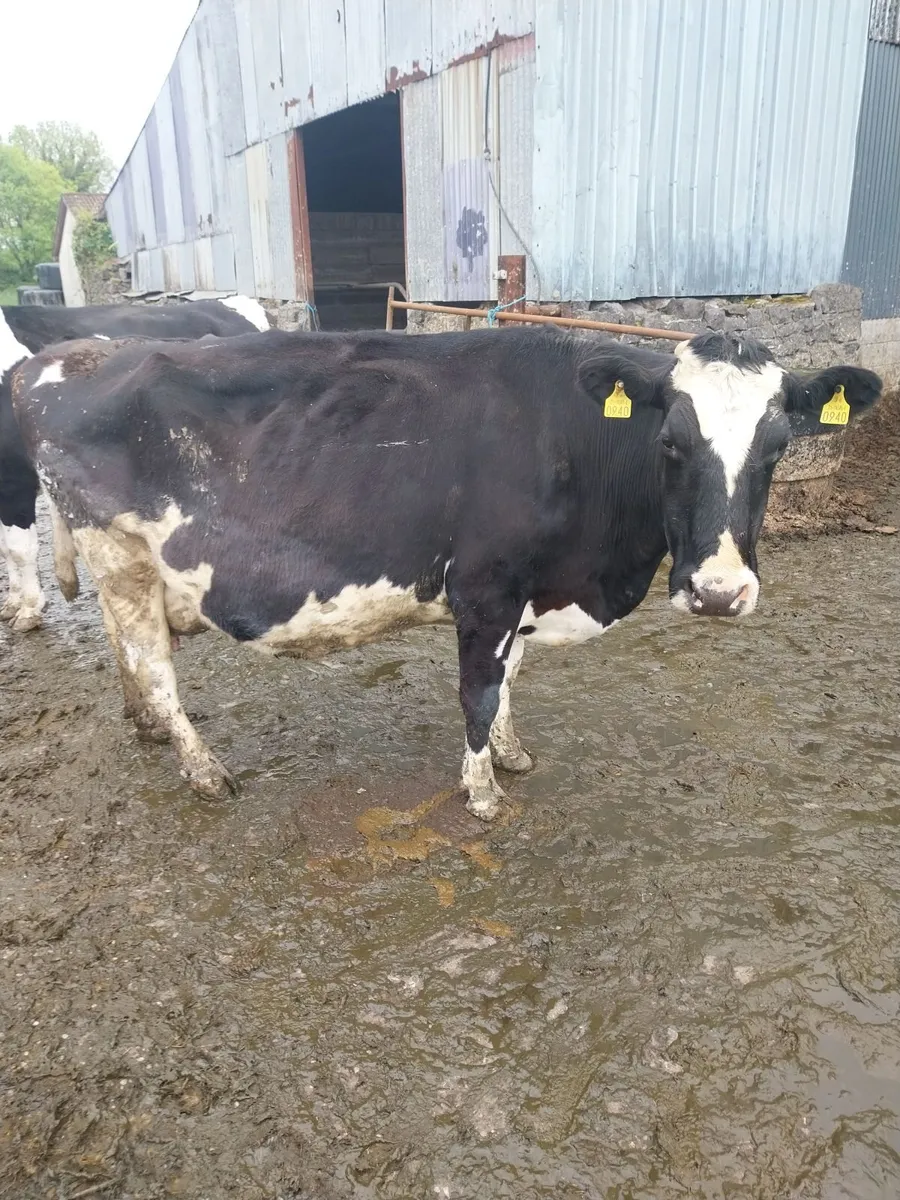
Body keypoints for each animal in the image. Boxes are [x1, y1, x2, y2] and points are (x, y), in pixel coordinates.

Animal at [11, 327, 881, 819]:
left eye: (778, 448)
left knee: (126, 648)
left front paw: (511, 754)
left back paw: (147, 730)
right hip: (120, 551)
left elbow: (513, 678)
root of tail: (66, 364)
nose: (719, 593)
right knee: (152, 663)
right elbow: (479, 690)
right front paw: (483, 791)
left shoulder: (524, 590)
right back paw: (201, 768)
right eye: (670, 440)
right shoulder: (485, 587)